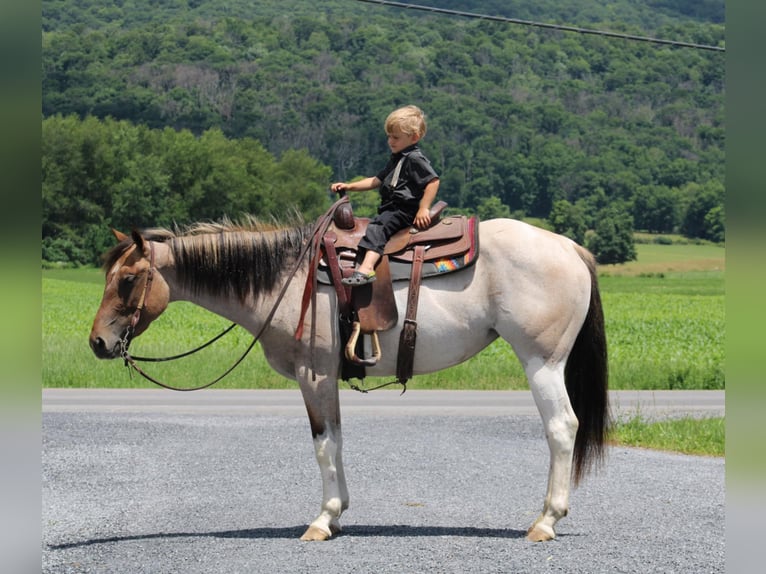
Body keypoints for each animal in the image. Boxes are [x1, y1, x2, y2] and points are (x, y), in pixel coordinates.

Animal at [90, 216, 608, 544]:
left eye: (128, 279)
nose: (97, 342)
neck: (284, 279)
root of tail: (569, 246)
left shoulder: (314, 374)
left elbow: (323, 444)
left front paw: (322, 520)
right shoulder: (327, 379)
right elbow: (335, 442)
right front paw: (337, 514)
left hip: (543, 362)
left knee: (562, 428)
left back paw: (545, 521)